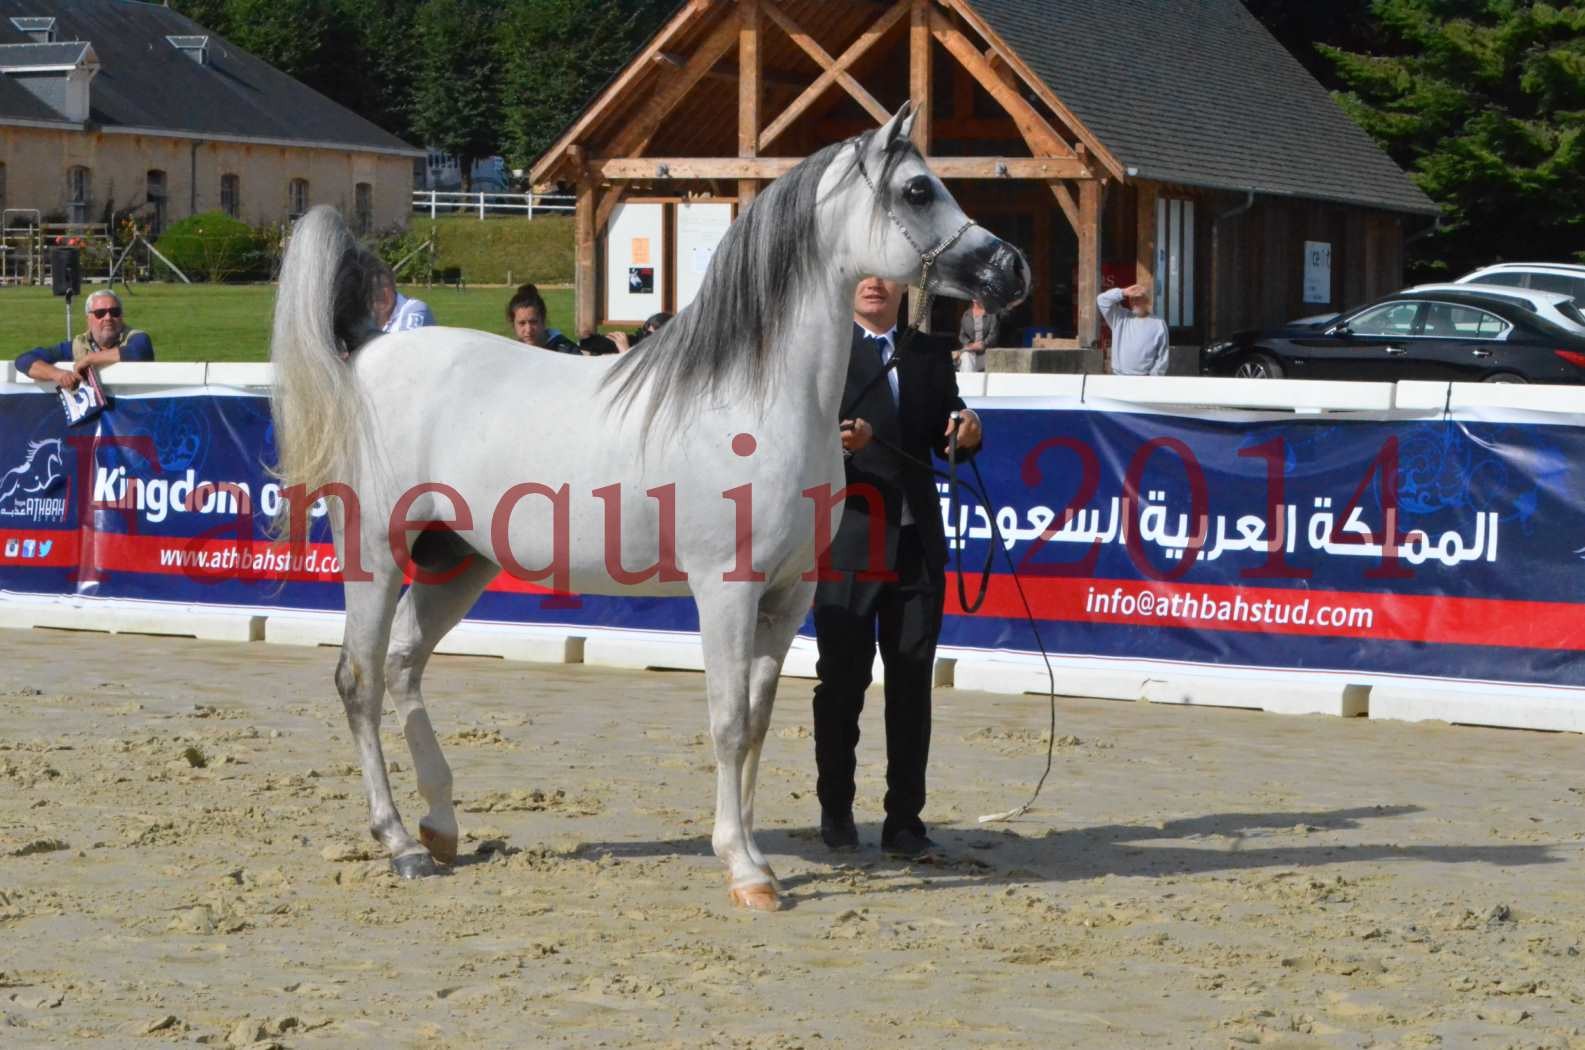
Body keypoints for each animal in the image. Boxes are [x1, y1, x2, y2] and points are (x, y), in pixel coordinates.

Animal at [266, 107, 1027, 913]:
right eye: (917, 190)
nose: (1012, 269)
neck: (755, 399)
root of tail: (365, 352)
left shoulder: (789, 597)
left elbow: (757, 722)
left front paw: (756, 856)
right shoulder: (725, 591)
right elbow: (727, 722)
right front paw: (744, 869)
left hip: (457, 561)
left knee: (406, 665)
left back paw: (439, 827)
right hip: (376, 557)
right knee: (361, 680)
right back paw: (400, 844)